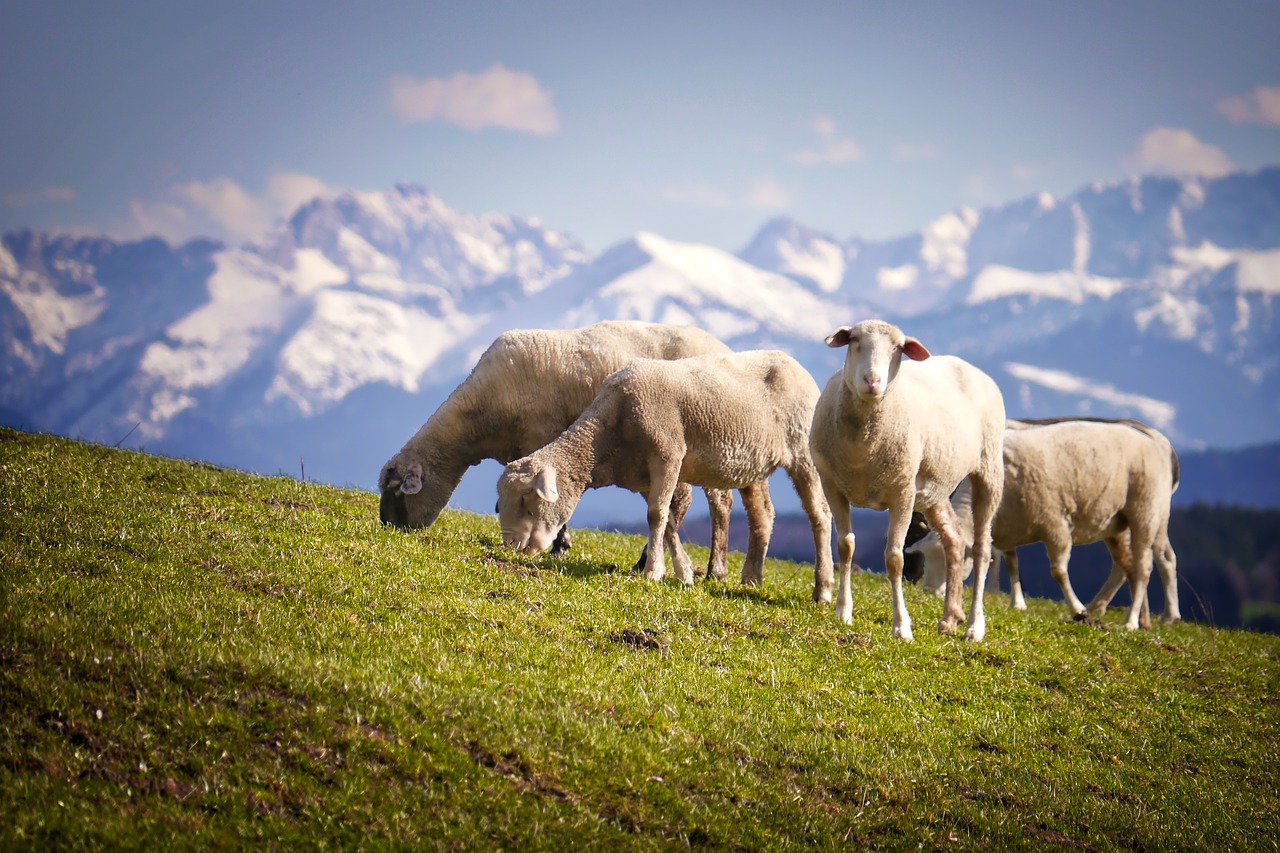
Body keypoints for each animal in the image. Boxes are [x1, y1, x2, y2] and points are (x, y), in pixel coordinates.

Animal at [376, 320, 757, 578]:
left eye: (397, 492)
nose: (389, 529)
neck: (478, 417)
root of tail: (725, 347)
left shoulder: (541, 435)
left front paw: (559, 545)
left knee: (719, 504)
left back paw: (714, 568)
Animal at [488, 348, 829, 596]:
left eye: (528, 500)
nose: (512, 547)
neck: (608, 435)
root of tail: (797, 366)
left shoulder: (668, 455)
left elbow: (657, 516)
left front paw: (653, 571)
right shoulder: (642, 474)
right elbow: (667, 521)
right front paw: (684, 571)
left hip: (803, 453)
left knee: (820, 515)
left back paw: (822, 591)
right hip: (752, 462)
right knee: (763, 515)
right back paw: (751, 578)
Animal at [808, 318, 1008, 637]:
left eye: (897, 348)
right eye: (854, 340)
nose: (872, 381)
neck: (862, 446)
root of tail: (968, 365)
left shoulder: (902, 492)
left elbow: (895, 558)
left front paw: (901, 626)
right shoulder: (832, 485)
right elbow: (845, 547)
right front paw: (843, 611)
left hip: (988, 471)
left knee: (981, 549)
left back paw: (975, 627)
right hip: (934, 488)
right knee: (954, 540)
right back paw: (950, 618)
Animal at [911, 414, 1177, 627]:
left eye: (948, 561)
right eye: (926, 558)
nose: (929, 592)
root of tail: (1153, 440)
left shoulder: (1055, 524)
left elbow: (1058, 572)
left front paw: (1077, 608)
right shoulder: (1007, 529)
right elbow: (1012, 563)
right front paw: (1018, 603)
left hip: (1147, 512)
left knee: (1147, 566)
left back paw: (1136, 620)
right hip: (1117, 523)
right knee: (1128, 565)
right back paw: (1135, 617)